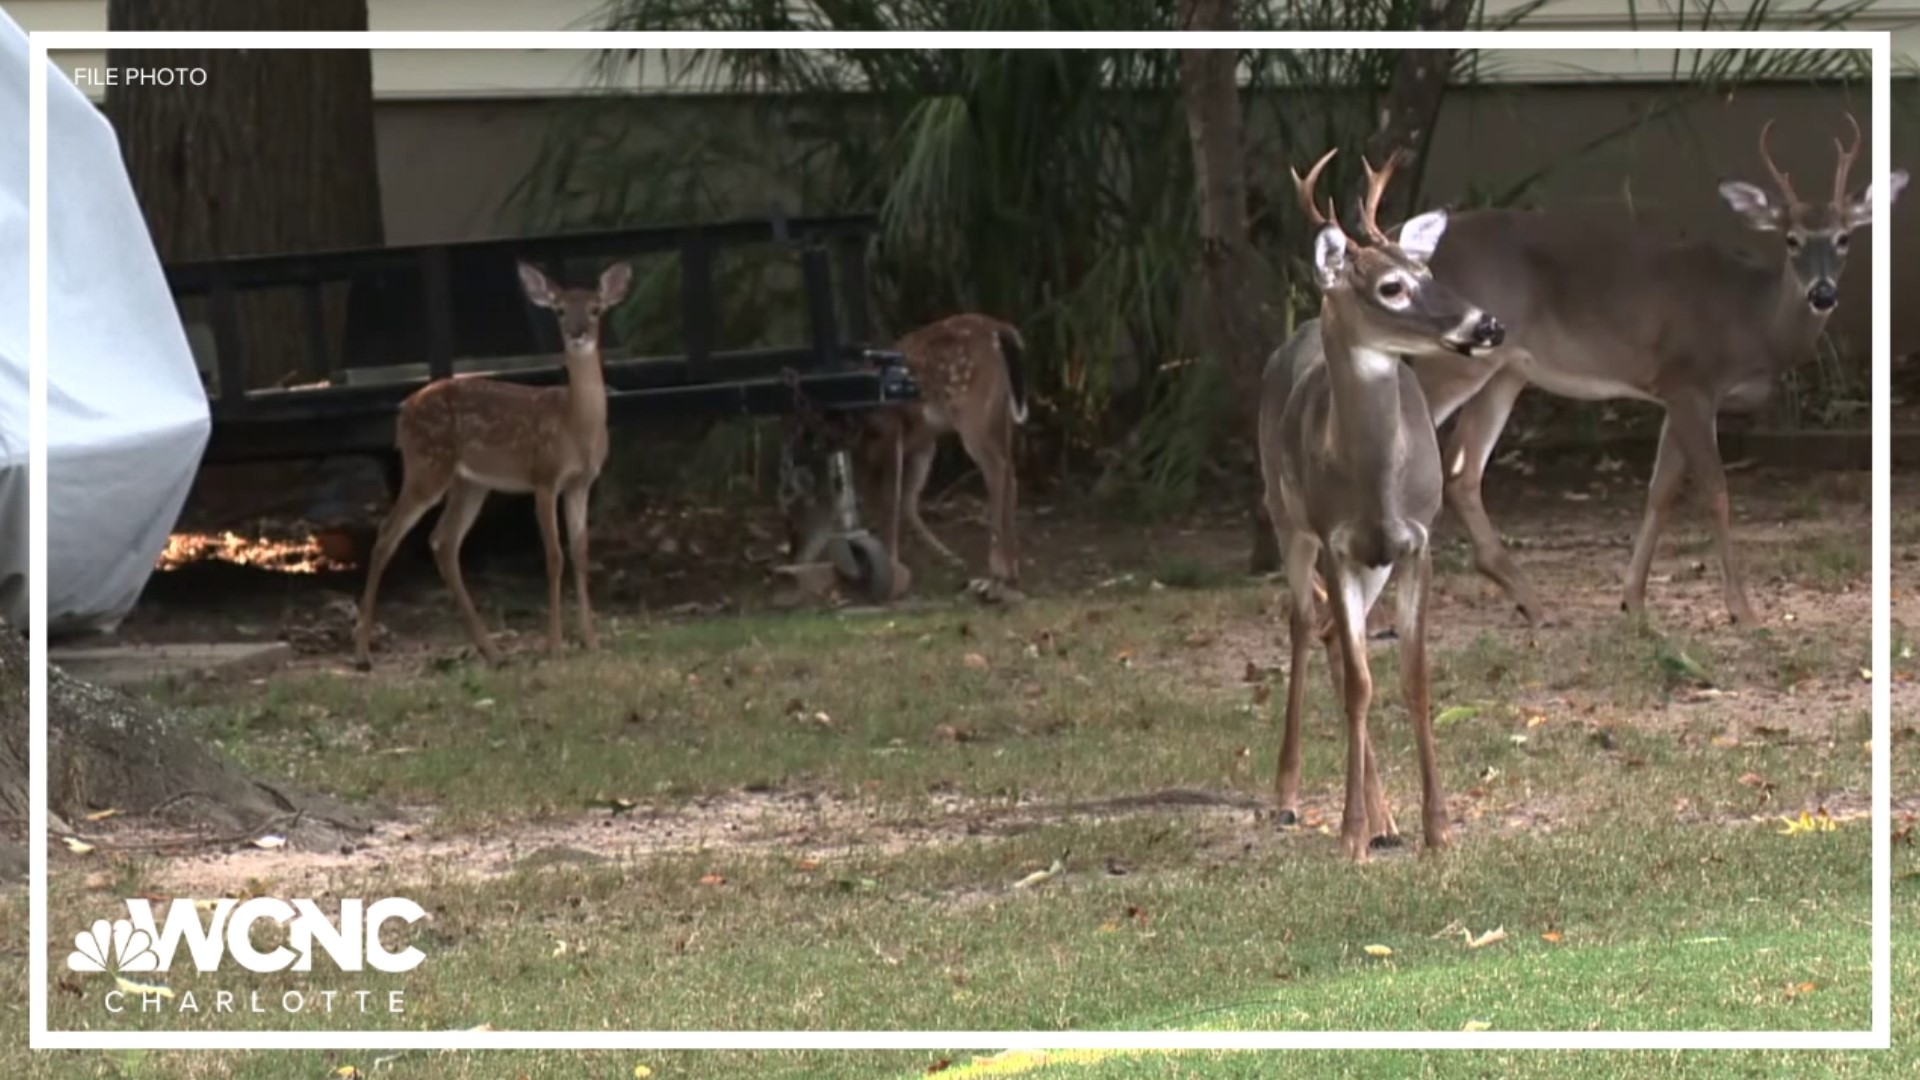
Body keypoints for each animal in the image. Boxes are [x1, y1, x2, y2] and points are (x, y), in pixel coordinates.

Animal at [349, 261, 633, 664]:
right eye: (559, 310)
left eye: (595, 309)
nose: (577, 333)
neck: (575, 425)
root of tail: (402, 411)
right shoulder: (544, 477)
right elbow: (554, 556)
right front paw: (556, 646)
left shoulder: (581, 483)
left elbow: (580, 553)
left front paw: (591, 643)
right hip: (427, 464)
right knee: (388, 533)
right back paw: (362, 652)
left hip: (470, 482)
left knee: (443, 541)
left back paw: (492, 650)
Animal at [860, 311, 1029, 595]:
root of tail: (998, 328)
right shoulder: (920, 443)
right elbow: (904, 499)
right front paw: (946, 557)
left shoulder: (891, 429)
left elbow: (890, 498)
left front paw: (891, 568)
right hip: (999, 412)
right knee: (1011, 471)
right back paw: (1010, 568)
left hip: (972, 410)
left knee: (996, 468)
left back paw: (996, 573)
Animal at [1267, 148, 1505, 857]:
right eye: (1392, 287)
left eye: (1429, 270)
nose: (1488, 324)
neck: (1374, 483)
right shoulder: (1337, 541)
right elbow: (1359, 685)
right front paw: (1349, 835)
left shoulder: (1417, 539)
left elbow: (1411, 678)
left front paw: (1436, 827)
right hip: (1285, 518)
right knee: (1302, 624)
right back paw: (1289, 796)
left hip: (1370, 560)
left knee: (1327, 634)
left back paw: (1386, 819)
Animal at [1405, 111, 1896, 622]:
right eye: (1791, 239)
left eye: (1843, 238)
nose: (1823, 293)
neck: (1754, 320)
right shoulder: (1692, 380)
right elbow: (1715, 490)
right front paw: (1741, 608)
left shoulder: (1675, 392)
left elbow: (1661, 490)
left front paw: (1634, 600)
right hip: (1453, 358)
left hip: (1505, 370)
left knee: (1460, 470)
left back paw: (1531, 602)